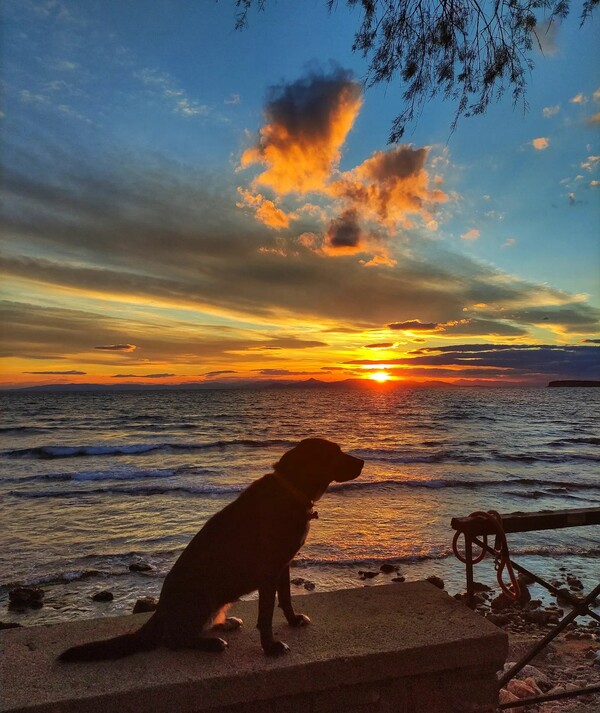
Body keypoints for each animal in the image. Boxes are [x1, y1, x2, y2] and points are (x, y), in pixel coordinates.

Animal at [58, 436, 364, 660]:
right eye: (336, 452)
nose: (362, 461)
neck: (291, 490)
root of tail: (161, 611)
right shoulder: (269, 570)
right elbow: (266, 615)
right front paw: (271, 647)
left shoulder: (284, 564)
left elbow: (286, 598)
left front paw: (293, 620)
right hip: (202, 596)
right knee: (174, 640)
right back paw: (211, 643)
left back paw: (225, 623)